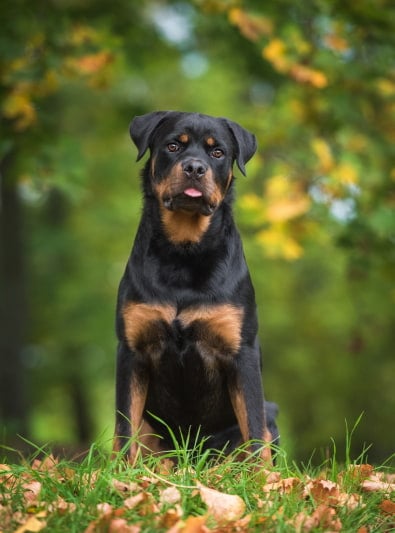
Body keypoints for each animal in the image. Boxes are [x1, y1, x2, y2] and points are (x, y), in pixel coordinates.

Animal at [114, 111, 280, 462]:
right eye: (173, 146)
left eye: (217, 152)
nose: (194, 167)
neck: (184, 251)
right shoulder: (131, 351)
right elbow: (124, 427)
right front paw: (120, 471)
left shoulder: (241, 352)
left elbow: (255, 428)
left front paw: (264, 476)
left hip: (268, 410)